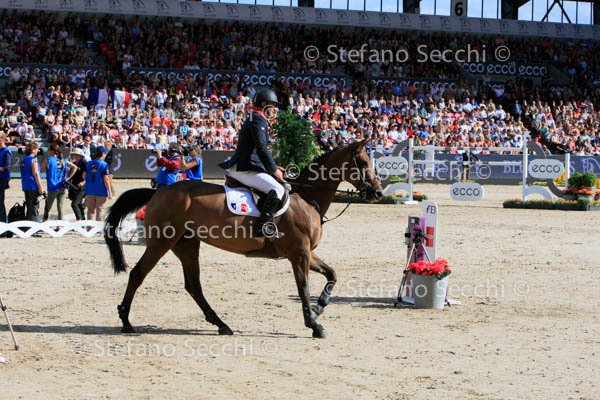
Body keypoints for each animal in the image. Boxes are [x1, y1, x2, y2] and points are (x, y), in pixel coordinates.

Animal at [104, 139, 383, 338]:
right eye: (363, 163)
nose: (378, 193)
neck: (307, 198)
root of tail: (157, 192)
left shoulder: (305, 252)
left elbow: (332, 274)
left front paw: (319, 307)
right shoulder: (299, 254)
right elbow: (303, 287)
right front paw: (314, 324)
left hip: (187, 245)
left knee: (193, 285)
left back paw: (221, 324)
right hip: (162, 242)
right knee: (138, 274)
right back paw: (126, 321)